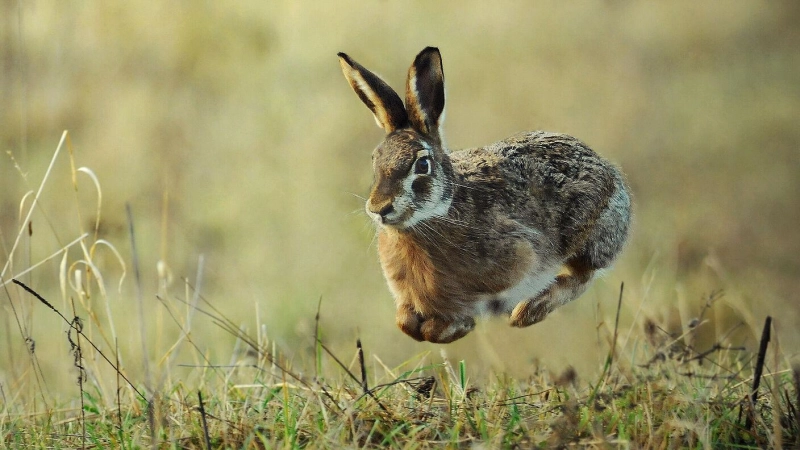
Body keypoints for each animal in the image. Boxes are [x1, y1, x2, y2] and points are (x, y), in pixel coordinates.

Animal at [338, 47, 631, 344]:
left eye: (422, 165)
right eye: (375, 160)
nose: (379, 208)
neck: (433, 217)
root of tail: (609, 172)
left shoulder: (519, 258)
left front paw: (458, 326)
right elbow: (404, 324)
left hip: (590, 233)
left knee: (583, 275)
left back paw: (528, 311)